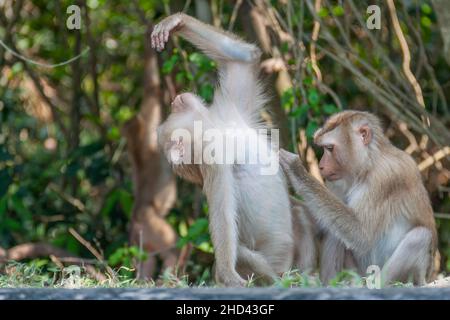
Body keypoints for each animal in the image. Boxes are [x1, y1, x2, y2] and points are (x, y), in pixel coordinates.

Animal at [151, 13, 316, 286]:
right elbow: (223, 212)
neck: (217, 131)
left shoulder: (233, 109)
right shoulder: (210, 157)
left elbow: (245, 57)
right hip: (273, 267)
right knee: (244, 253)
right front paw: (227, 274)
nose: (175, 100)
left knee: (302, 214)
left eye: (171, 113)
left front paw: (175, 22)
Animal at [280, 111, 438, 286]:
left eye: (329, 148)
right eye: (324, 148)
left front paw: (295, 169)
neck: (368, 164)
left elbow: (362, 233)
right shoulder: (336, 182)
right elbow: (323, 223)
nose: (321, 166)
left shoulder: (384, 178)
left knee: (420, 237)